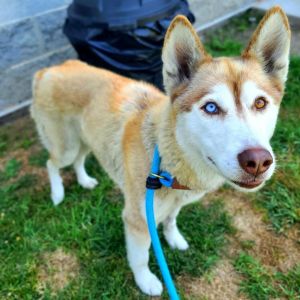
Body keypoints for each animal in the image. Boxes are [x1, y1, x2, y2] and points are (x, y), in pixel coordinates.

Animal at [31, 6, 290, 296]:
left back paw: (85, 180)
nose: (257, 161)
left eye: (260, 103)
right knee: (52, 164)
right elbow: (141, 256)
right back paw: (57, 194)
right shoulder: (137, 219)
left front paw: (174, 238)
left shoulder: (175, 203)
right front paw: (146, 281)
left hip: (85, 140)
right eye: (211, 107)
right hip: (66, 145)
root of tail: (50, 69)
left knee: (78, 161)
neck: (168, 160)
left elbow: (172, 220)